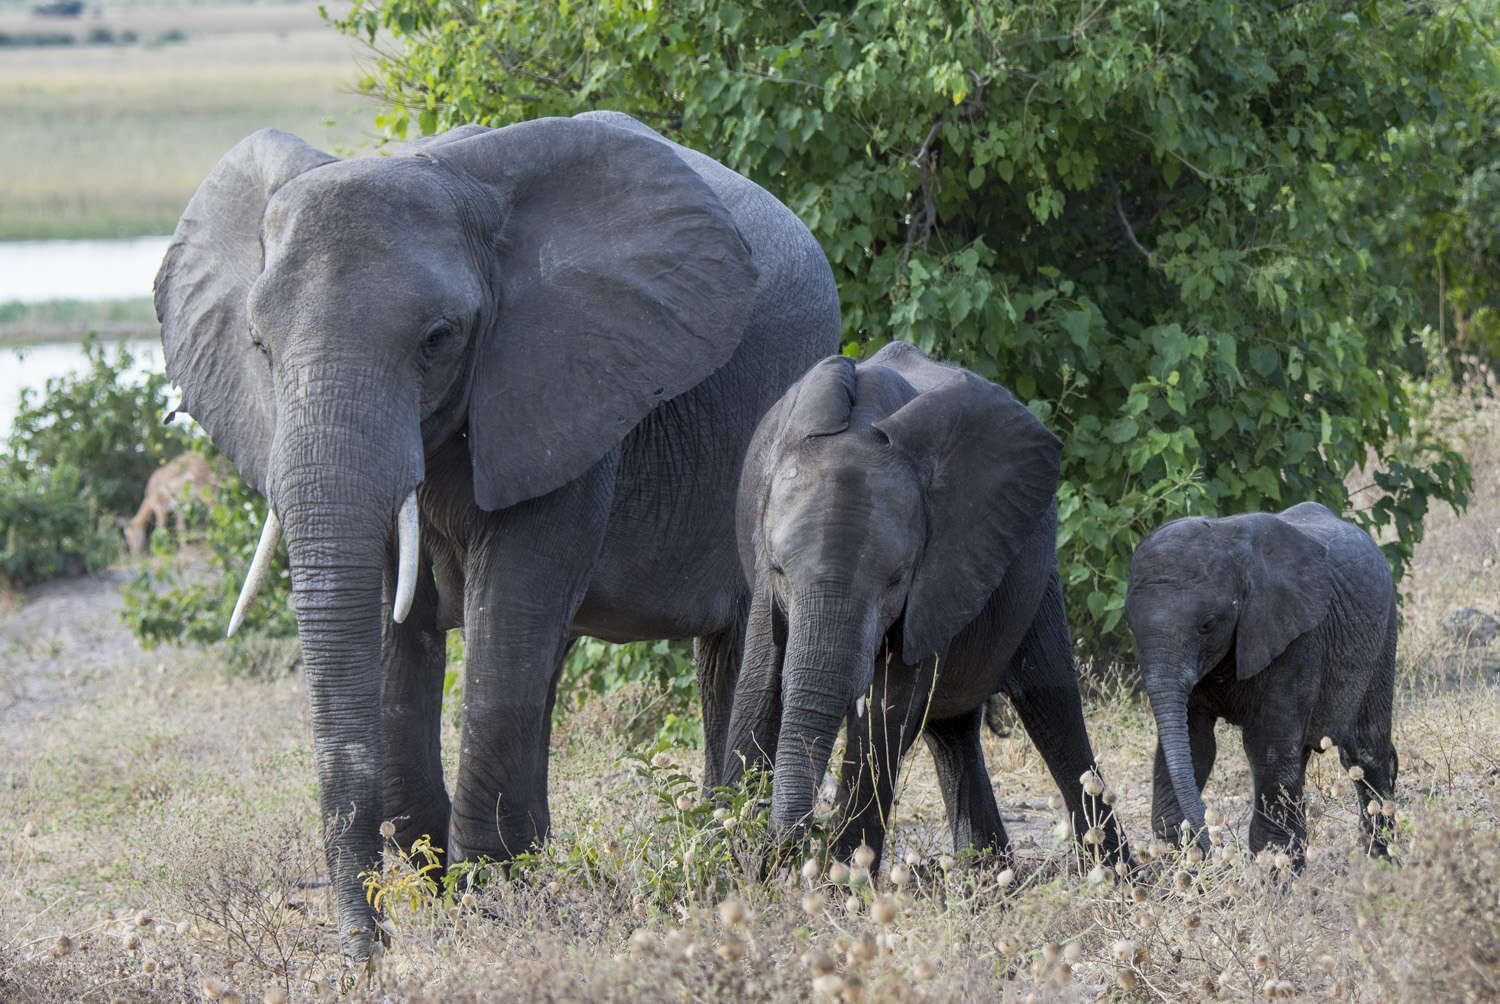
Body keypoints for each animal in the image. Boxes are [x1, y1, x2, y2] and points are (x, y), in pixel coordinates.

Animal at [154, 111, 840, 955]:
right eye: (258, 344)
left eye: (438, 338)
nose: (368, 956)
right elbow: (398, 626)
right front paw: (443, 883)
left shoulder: (570, 386)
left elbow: (505, 623)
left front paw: (489, 904)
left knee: (733, 650)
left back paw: (728, 850)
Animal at [722, 342, 1128, 868]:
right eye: (778, 571)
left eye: (897, 578)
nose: (782, 850)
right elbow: (760, 685)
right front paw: (735, 863)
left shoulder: (938, 577)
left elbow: (887, 708)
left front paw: (841, 875)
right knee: (953, 731)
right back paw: (988, 875)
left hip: (1032, 570)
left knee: (1052, 705)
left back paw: (1119, 875)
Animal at [1123, 501, 1398, 862]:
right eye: (1130, 625)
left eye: (1207, 625)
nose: (1217, 850)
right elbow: (1195, 744)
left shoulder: (1296, 638)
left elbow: (1266, 749)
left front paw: (1274, 870)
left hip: (1384, 633)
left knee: (1365, 753)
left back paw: (1382, 860)